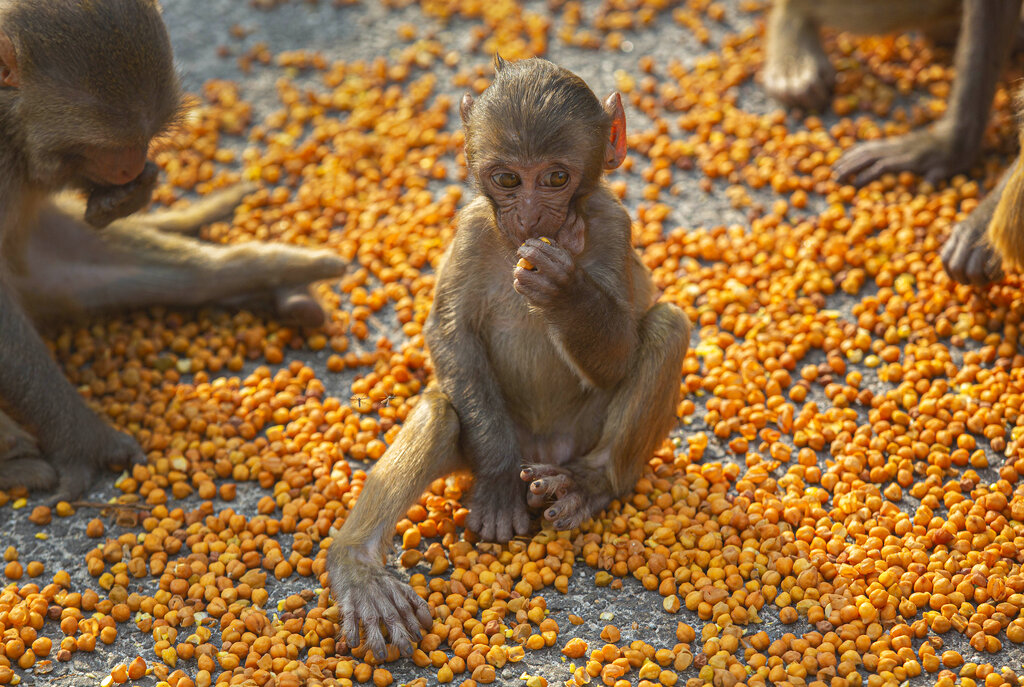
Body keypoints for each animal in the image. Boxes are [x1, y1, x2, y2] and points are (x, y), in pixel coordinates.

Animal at [326, 57, 691, 660]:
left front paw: (564, 290)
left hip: (581, 438)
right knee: (441, 409)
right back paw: (358, 567)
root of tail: (545, 450)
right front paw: (498, 483)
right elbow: (450, 332)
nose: (530, 216)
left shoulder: (612, 222)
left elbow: (619, 356)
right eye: (508, 180)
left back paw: (589, 482)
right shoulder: (474, 227)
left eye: (556, 178)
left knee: (667, 325)